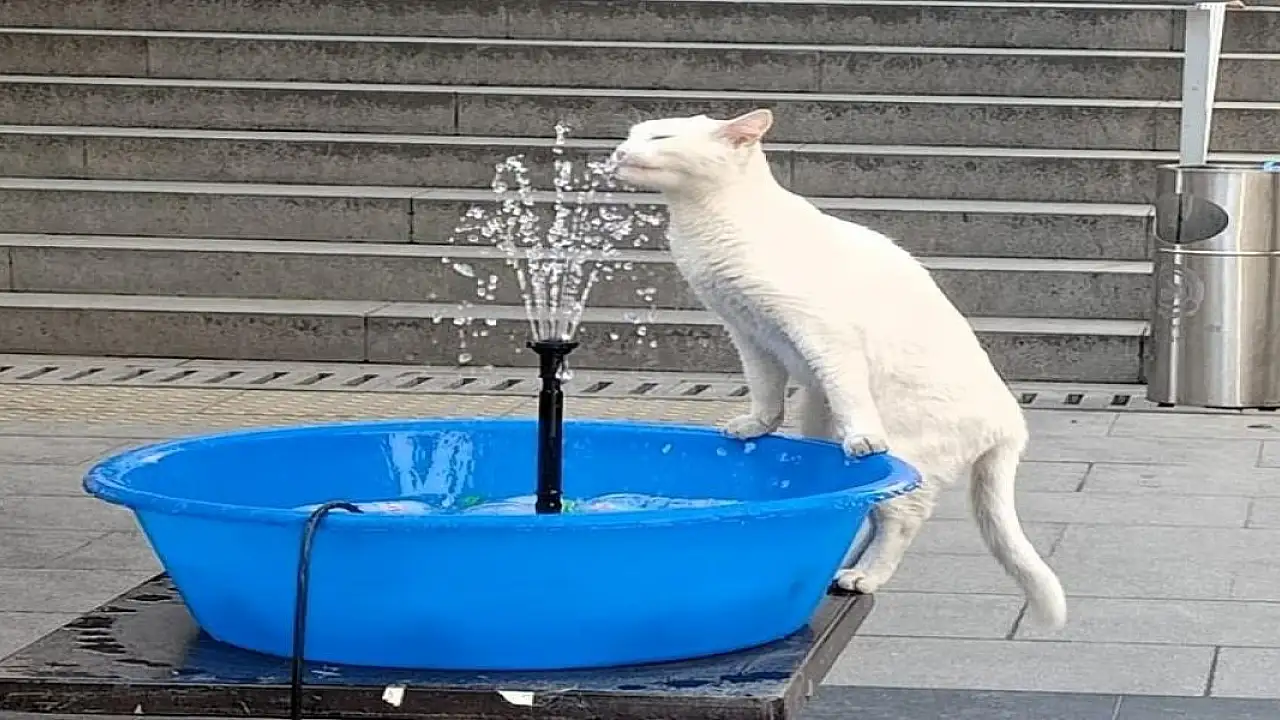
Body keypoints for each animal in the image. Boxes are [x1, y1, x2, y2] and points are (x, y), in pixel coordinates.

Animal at [610, 109, 1067, 628]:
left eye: (660, 137)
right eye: (631, 134)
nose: (619, 152)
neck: (704, 227)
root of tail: (1012, 419)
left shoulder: (821, 333)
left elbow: (847, 388)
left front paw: (862, 435)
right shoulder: (748, 332)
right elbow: (764, 388)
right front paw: (755, 425)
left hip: (910, 455)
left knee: (900, 518)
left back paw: (863, 576)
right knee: (867, 506)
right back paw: (842, 566)